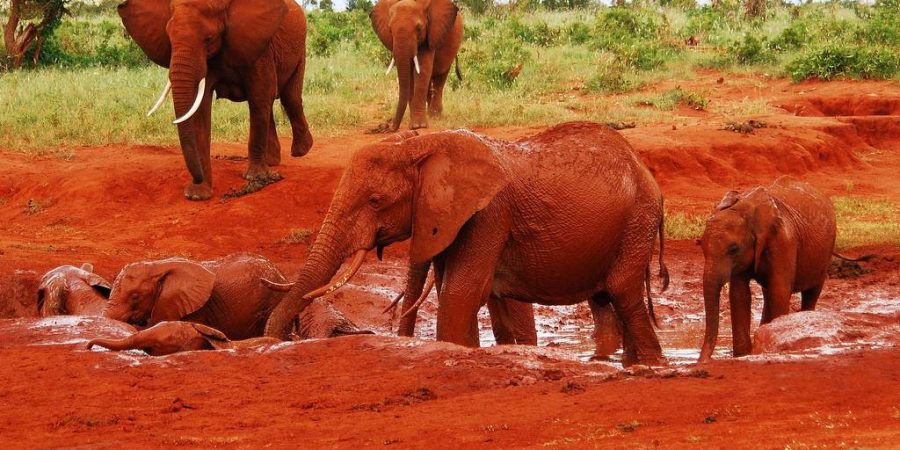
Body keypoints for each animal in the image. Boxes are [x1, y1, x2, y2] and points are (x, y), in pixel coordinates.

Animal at [264, 122, 672, 366]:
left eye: (376, 200)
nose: (275, 341)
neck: (424, 144)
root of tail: (643, 167)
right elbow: (469, 292)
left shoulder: (488, 213)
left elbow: (461, 292)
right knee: (605, 298)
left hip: (638, 219)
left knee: (622, 291)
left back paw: (651, 365)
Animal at [370, 0, 464, 130]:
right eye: (390, 30)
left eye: (419, 28)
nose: (388, 127)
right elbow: (410, 74)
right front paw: (415, 124)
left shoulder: (430, 33)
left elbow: (423, 69)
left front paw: (418, 126)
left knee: (440, 77)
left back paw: (435, 115)